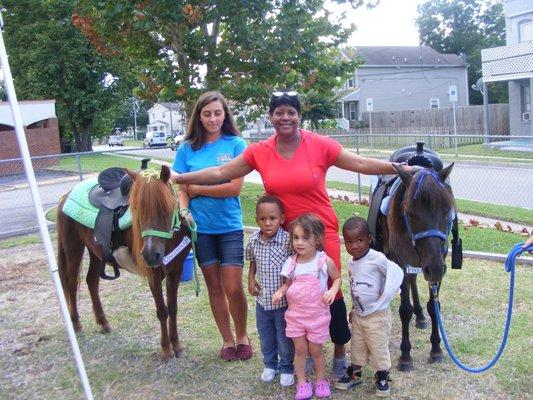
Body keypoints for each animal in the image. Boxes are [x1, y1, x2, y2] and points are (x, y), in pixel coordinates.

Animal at [57, 164, 190, 360]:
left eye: (166, 207)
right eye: (137, 210)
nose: (151, 255)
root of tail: (66, 196)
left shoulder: (176, 270)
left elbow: (172, 308)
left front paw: (177, 345)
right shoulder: (153, 274)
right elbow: (161, 310)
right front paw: (166, 349)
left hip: (96, 252)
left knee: (91, 281)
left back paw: (104, 323)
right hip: (74, 249)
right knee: (72, 284)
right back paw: (76, 324)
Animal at [380, 164, 456, 370]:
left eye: (446, 209)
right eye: (410, 212)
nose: (435, 268)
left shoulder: (438, 265)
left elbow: (434, 306)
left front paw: (436, 349)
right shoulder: (402, 264)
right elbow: (405, 310)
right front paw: (405, 355)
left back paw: (420, 316)